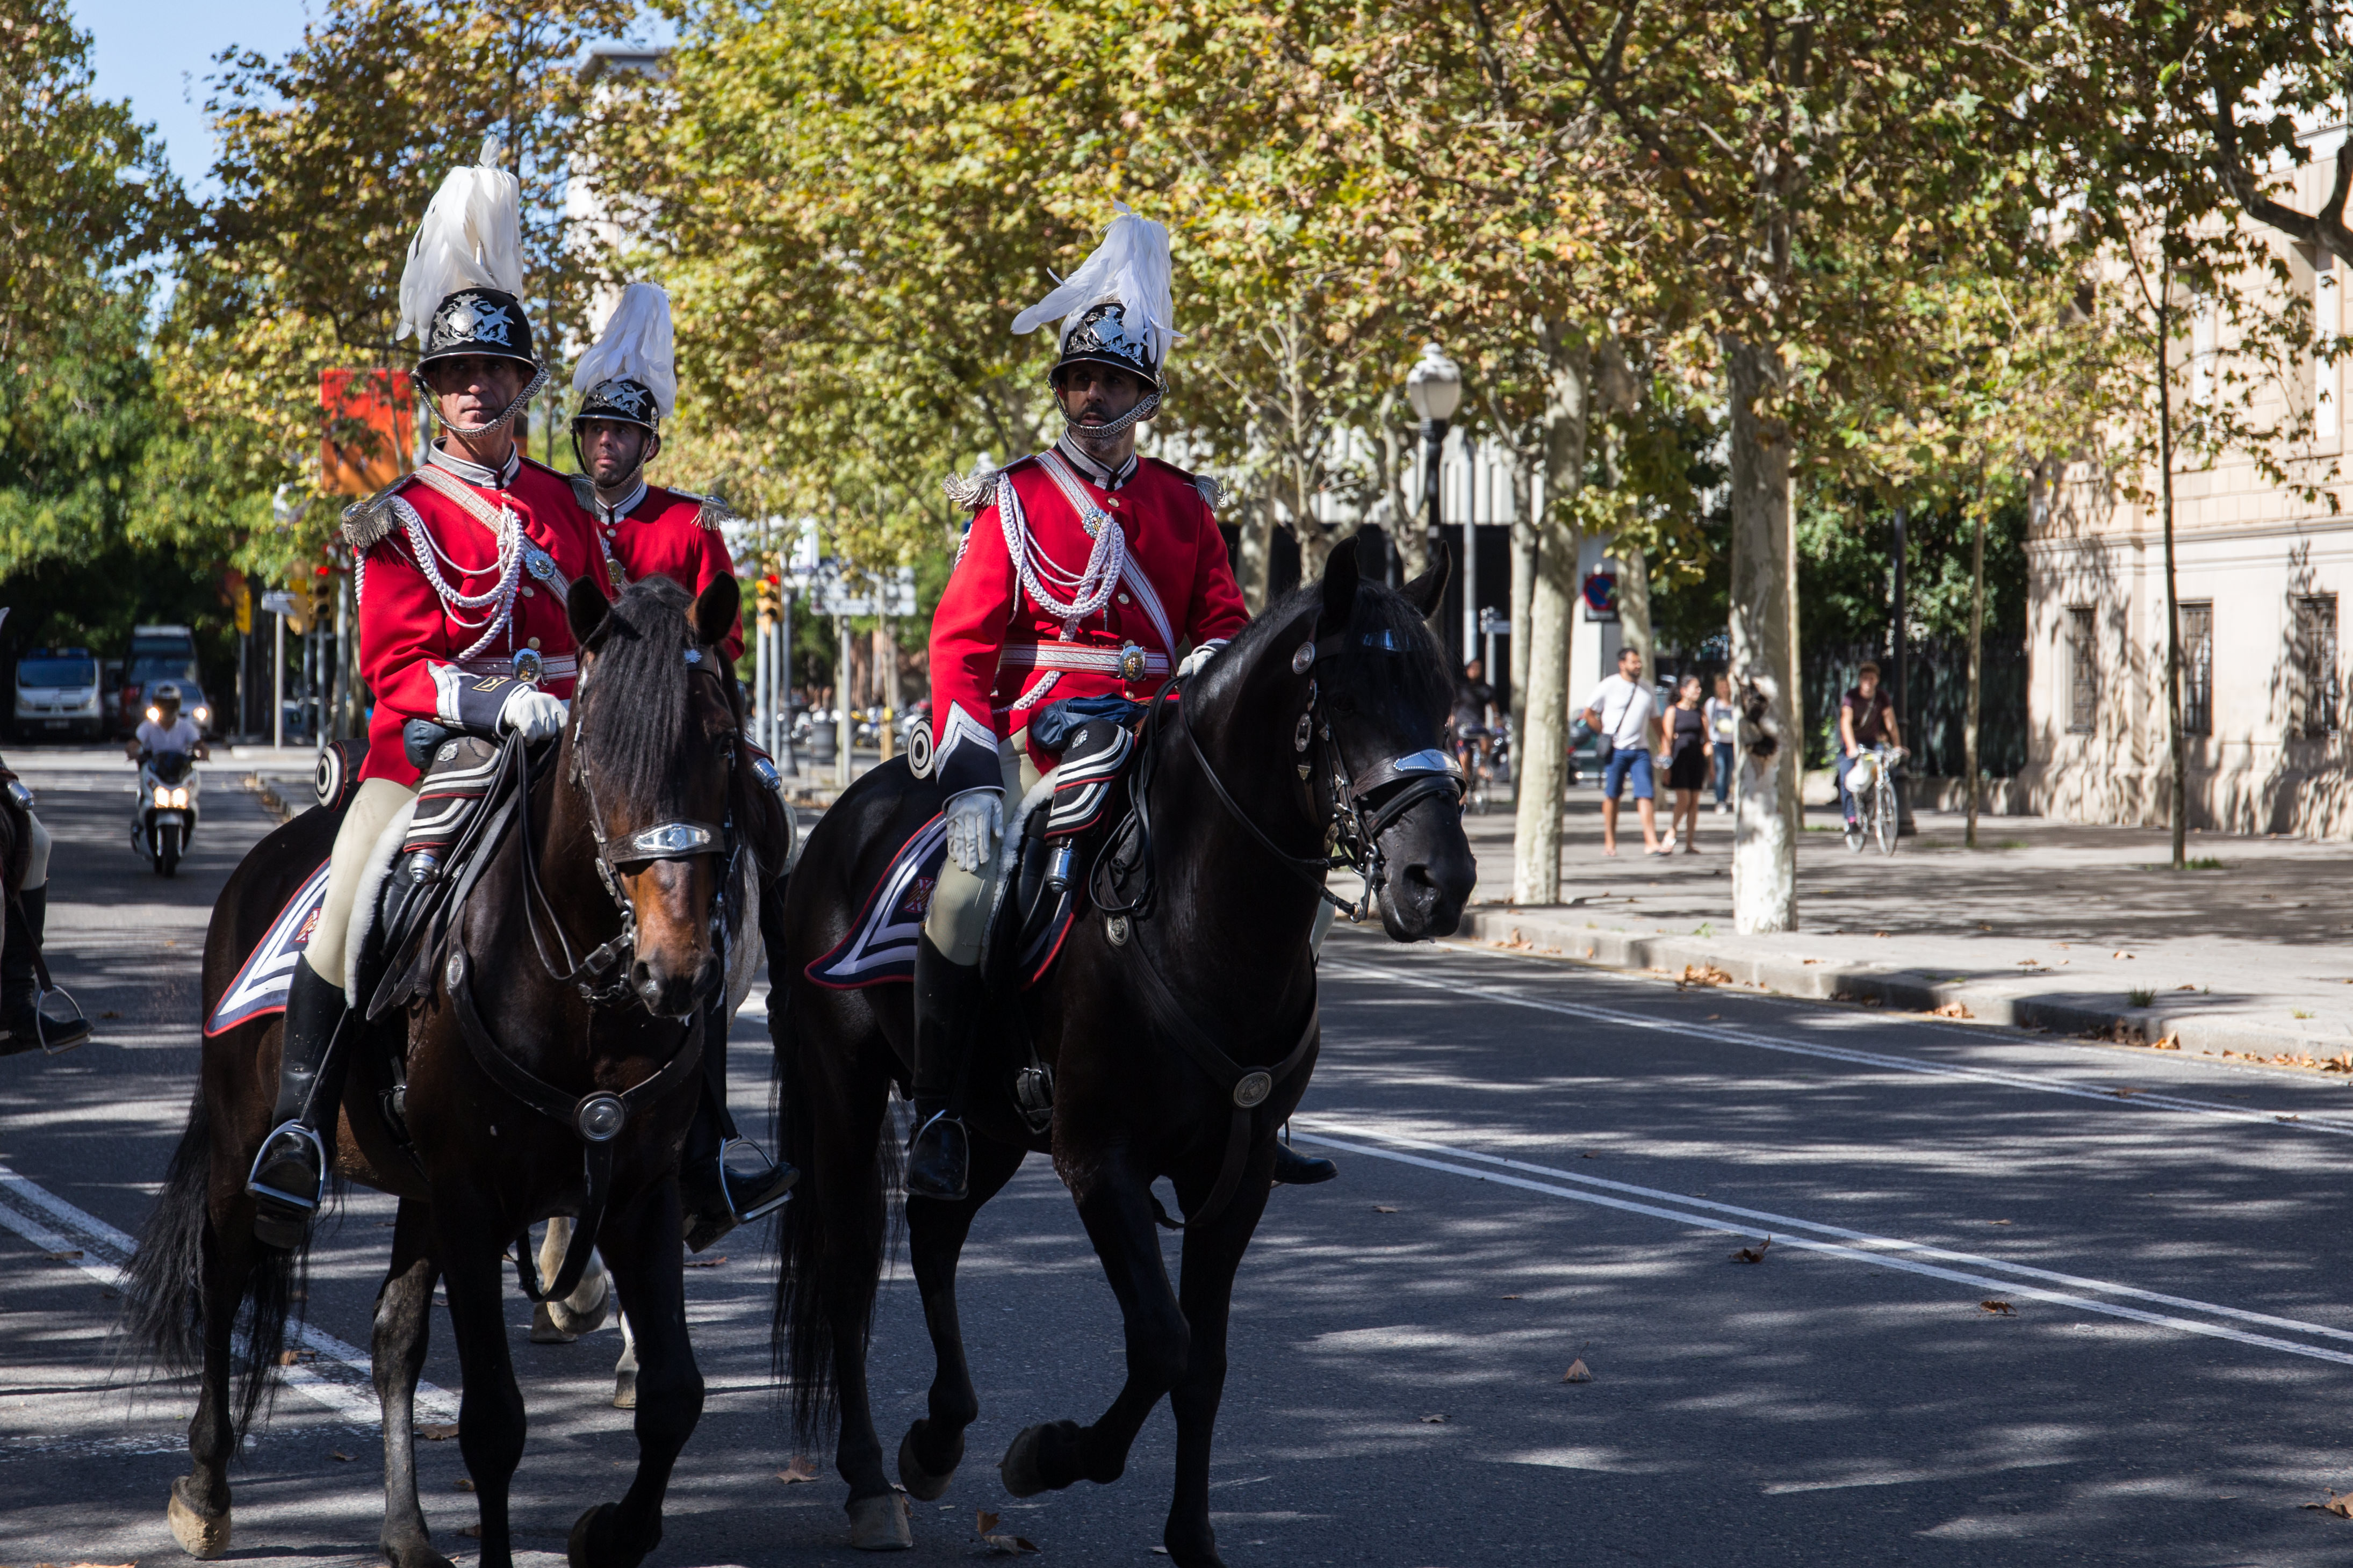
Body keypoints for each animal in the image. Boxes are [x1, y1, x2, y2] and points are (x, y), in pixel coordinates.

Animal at [124, 573, 776, 1568]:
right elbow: (494, 1421)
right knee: (226, 1274)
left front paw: (610, 1530)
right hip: (246, 1150)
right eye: (593, 750)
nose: (677, 969)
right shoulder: (474, 1198)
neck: (577, 986)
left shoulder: (637, 1192)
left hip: (418, 1186)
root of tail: (259, 865)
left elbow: (674, 1392)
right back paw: (204, 1486)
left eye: (722, 741)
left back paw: (406, 1527)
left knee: (393, 1336)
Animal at [768, 538, 1477, 1565]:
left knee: (936, 1232)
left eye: (1441, 693)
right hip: (845, 1092)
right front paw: (1049, 1454)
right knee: (852, 1262)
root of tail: (839, 812)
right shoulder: (1099, 1158)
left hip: (985, 1120)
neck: (1196, 913)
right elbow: (1162, 1339)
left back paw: (936, 1437)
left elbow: (1204, 1360)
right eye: (1342, 695)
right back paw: (870, 1477)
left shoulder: (1234, 1174)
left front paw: (1192, 1536)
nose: (1441, 880)